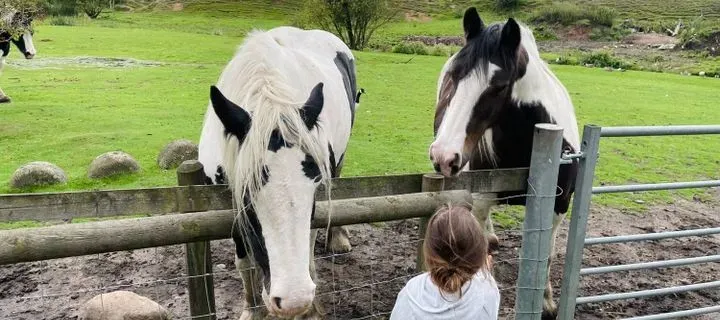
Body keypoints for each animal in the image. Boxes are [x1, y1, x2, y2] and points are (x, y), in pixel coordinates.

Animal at [198, 26, 358, 318]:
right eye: (247, 196)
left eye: (314, 188)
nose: (294, 300)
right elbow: (244, 262)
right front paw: (252, 308)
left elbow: (308, 244)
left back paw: (338, 238)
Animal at [428, 6, 580, 318]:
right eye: (454, 76)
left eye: (498, 86)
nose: (444, 156)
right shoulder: (480, 197)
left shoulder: (558, 206)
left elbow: (546, 255)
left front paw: (547, 304)